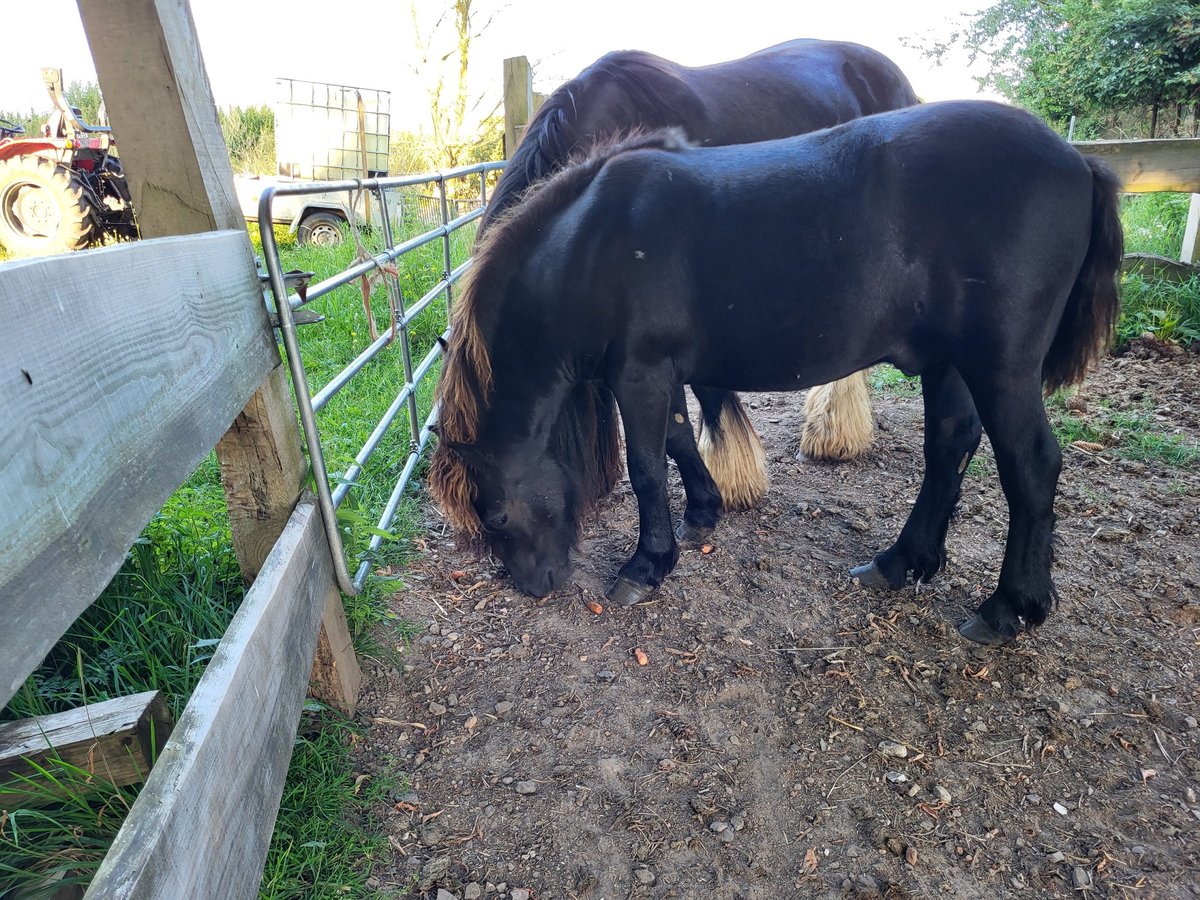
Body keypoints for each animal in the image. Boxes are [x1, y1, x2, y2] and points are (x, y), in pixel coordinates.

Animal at [434, 102, 1123, 643]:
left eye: (495, 516)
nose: (532, 586)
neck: (592, 245)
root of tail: (1075, 161)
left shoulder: (640, 373)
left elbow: (647, 466)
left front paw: (646, 565)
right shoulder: (660, 373)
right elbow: (680, 440)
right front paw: (703, 512)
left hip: (1000, 368)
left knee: (1031, 467)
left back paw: (1009, 608)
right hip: (950, 362)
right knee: (949, 448)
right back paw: (900, 563)